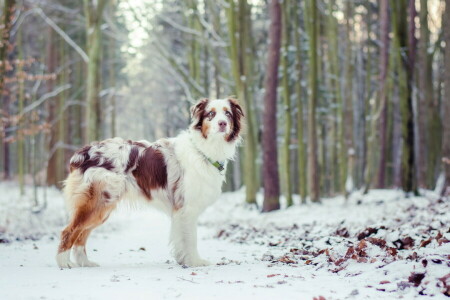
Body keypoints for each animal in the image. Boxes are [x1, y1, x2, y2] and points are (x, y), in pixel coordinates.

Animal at [57, 98, 244, 268]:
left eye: (228, 113)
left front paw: (183, 260)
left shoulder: (180, 211)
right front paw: (195, 262)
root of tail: (83, 152)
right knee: (69, 231)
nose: (222, 123)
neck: (203, 150)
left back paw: (85, 263)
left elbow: (180, 238)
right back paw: (64, 263)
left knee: (82, 235)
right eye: (211, 114)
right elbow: (190, 238)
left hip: (102, 207)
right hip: (98, 202)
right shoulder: (187, 207)